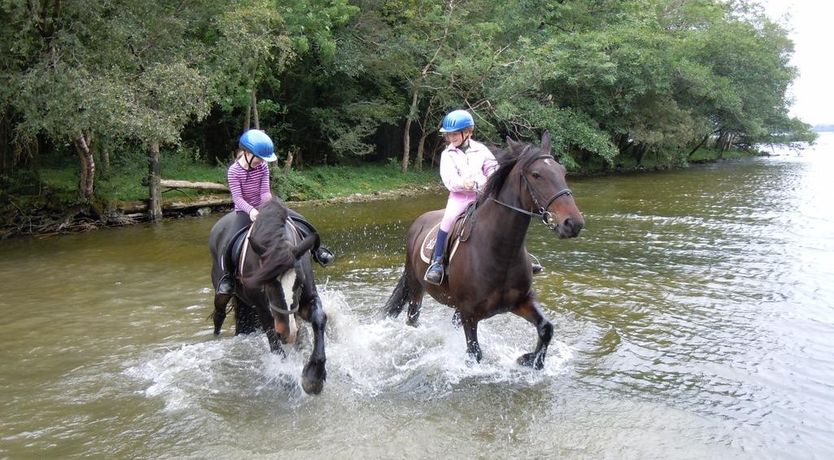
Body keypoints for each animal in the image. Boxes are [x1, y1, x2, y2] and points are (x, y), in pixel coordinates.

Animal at [206, 196, 326, 394]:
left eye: (300, 281)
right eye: (266, 283)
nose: (287, 333)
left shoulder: (306, 300)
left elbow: (319, 319)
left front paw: (314, 377)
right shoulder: (263, 309)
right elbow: (273, 340)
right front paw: (284, 373)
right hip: (221, 291)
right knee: (219, 314)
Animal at [380, 132, 580, 370]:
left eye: (562, 172)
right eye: (536, 175)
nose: (573, 223)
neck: (500, 252)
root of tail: (419, 222)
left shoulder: (521, 301)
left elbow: (546, 328)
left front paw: (529, 359)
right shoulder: (469, 314)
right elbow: (474, 354)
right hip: (415, 287)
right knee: (412, 318)